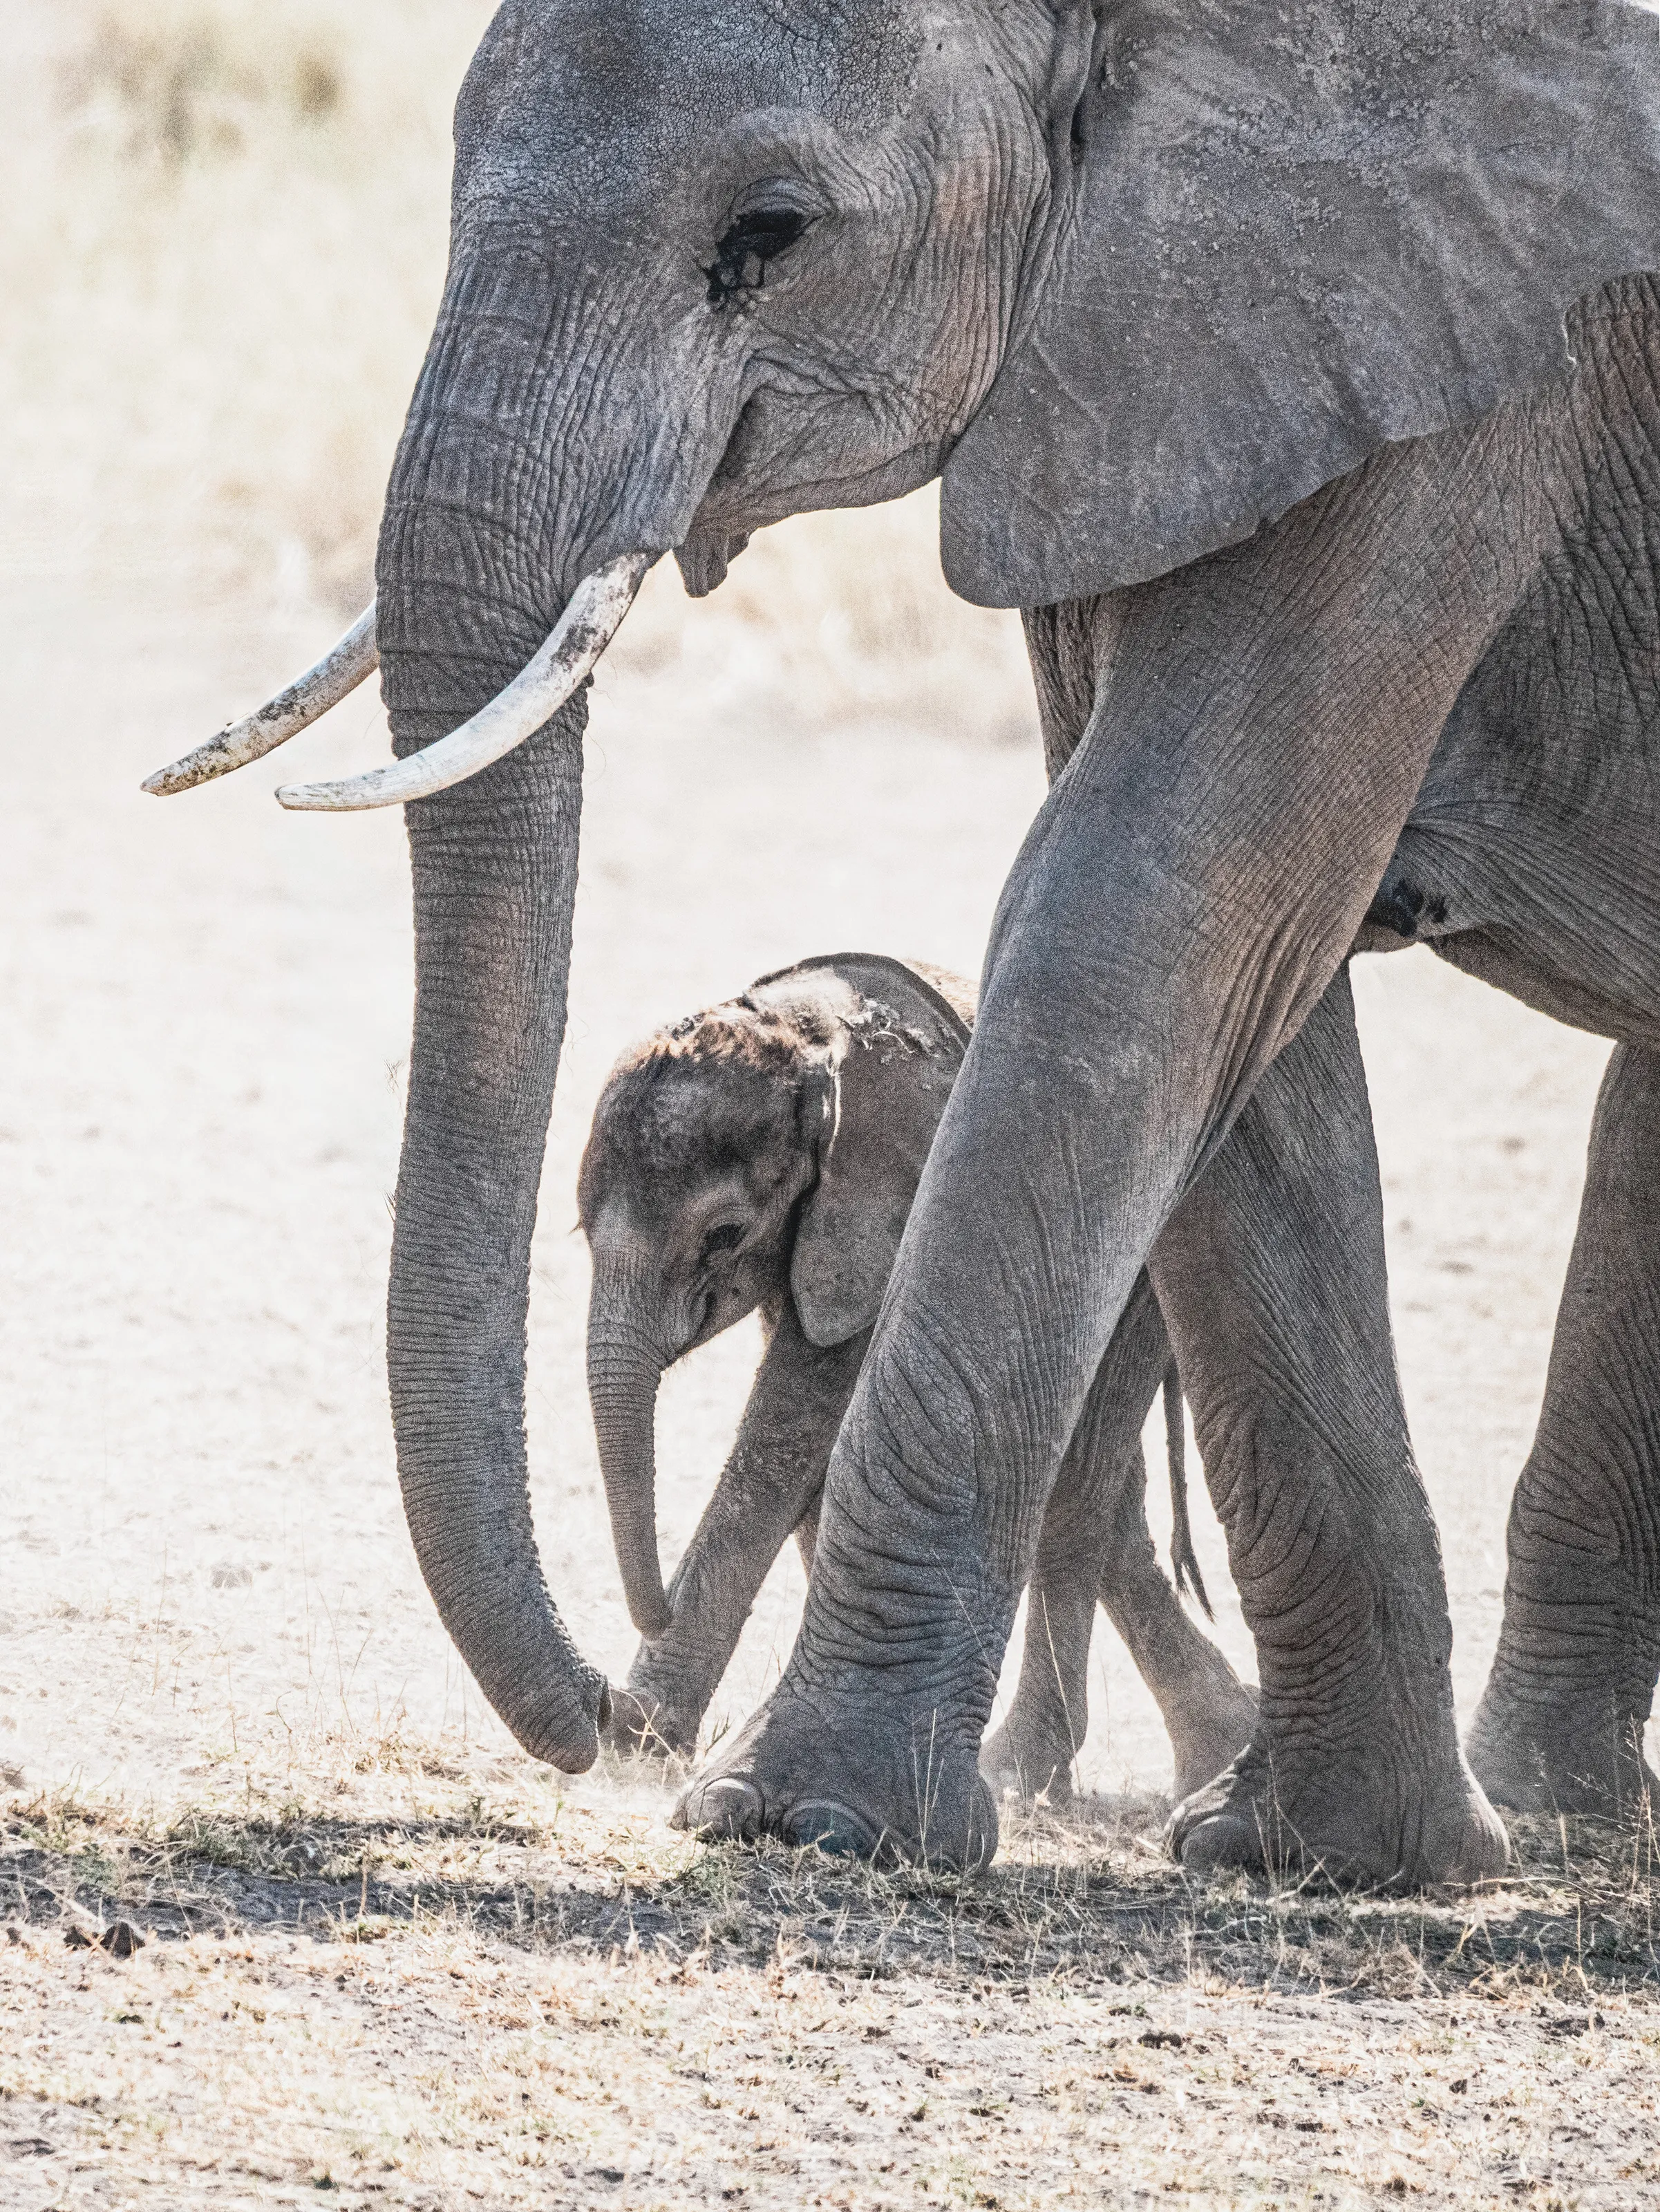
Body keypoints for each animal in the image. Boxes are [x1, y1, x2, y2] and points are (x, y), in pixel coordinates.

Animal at [577, 949, 1256, 1803]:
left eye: (724, 1234)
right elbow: (812, 1442)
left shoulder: (893, 1204)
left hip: (1139, 1269)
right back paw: (1215, 1746)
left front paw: (643, 1737)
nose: (651, 1613)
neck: (800, 1034)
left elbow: (787, 1432)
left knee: (1079, 1473)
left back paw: (1028, 1775)